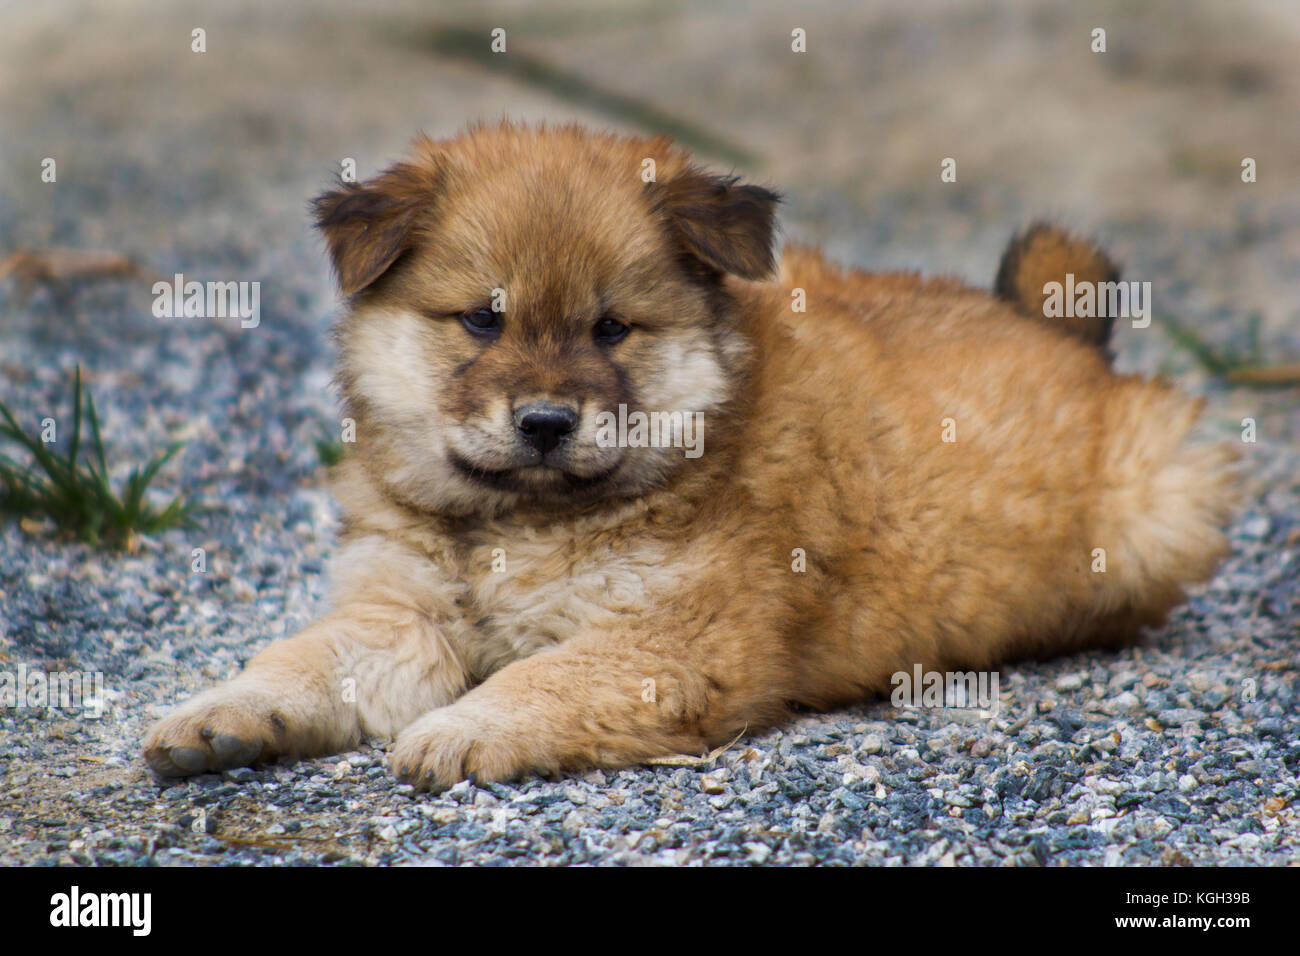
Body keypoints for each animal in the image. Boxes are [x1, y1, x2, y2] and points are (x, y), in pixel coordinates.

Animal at [144, 123, 1237, 790]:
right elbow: (299, 659)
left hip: (1156, 509)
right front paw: (222, 714)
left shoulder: (670, 635)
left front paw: (462, 728)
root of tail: (1058, 331)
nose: (546, 420)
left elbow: (545, 676)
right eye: (482, 320)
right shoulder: (397, 613)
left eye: (611, 328)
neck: (517, 521)